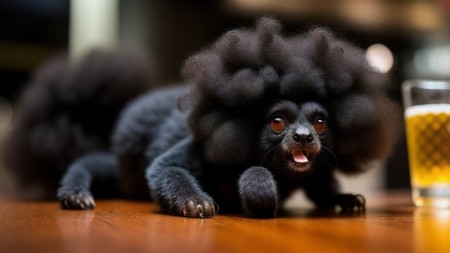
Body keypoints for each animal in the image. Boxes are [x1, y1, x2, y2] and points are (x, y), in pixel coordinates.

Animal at [7, 18, 400, 217]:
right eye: (277, 121)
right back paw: (75, 193)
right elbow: (167, 170)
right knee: (86, 164)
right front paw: (195, 200)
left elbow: (321, 188)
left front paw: (344, 198)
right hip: (116, 170)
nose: (304, 137)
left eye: (321, 122)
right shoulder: (190, 155)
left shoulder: (317, 170)